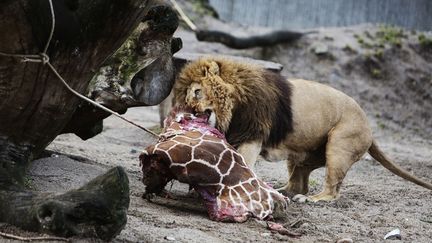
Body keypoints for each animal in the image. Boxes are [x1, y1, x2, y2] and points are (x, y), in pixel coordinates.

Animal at [174, 56, 432, 201]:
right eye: (187, 98)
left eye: (197, 92)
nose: (190, 110)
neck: (234, 104)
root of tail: (369, 125)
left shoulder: (253, 135)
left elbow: (242, 163)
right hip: (302, 155)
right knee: (299, 184)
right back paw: (283, 192)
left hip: (340, 146)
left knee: (332, 190)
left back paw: (313, 200)